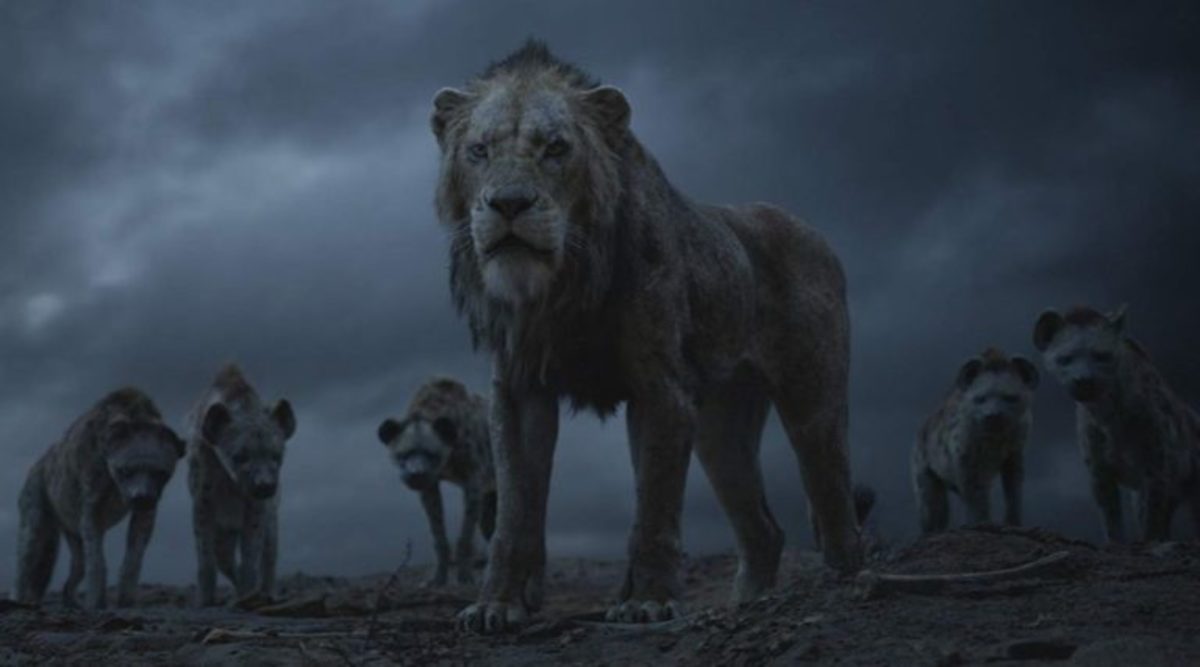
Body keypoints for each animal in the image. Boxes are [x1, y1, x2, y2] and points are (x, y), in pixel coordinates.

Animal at [430, 40, 863, 632]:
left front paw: (648, 602)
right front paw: (498, 604)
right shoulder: (518, 391)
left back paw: (841, 584)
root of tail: (814, 231)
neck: (562, 285)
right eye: (478, 150)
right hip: (720, 429)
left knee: (831, 490)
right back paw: (750, 603)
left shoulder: (659, 387)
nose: (510, 204)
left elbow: (654, 503)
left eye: (556, 148)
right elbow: (515, 509)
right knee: (764, 529)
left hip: (811, 399)